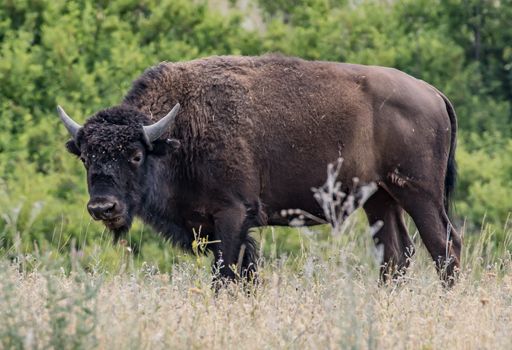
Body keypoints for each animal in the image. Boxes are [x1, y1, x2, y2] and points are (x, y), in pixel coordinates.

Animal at [58, 54, 462, 284]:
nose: (103, 207)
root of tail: (434, 94)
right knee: (396, 255)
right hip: (379, 197)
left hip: (419, 193)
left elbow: (227, 275)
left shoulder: (232, 215)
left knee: (444, 247)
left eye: (135, 155)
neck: (176, 132)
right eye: (86, 157)